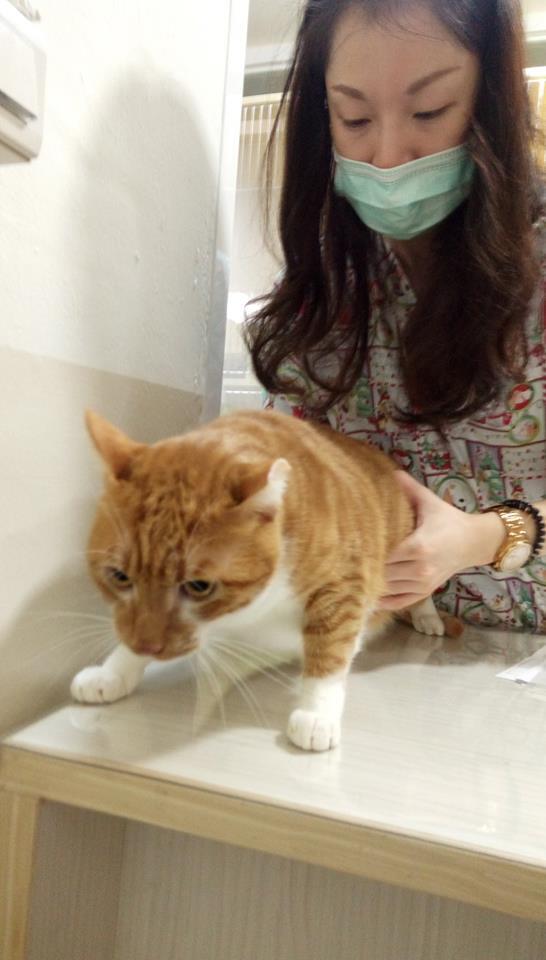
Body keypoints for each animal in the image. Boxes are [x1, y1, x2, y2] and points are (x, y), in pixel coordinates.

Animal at [71, 408, 450, 751]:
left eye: (198, 586)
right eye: (119, 576)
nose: (147, 646)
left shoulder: (344, 583)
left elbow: (331, 646)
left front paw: (317, 714)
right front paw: (114, 672)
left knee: (421, 593)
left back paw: (427, 617)